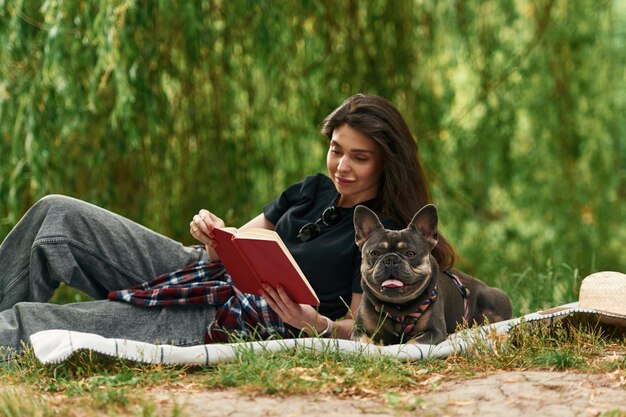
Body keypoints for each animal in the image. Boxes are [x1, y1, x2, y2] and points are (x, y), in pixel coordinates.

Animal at [352, 203, 512, 342]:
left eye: (410, 253)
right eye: (374, 253)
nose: (391, 259)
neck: (398, 307)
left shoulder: (434, 331)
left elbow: (412, 343)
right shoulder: (359, 331)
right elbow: (364, 342)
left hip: (493, 298)